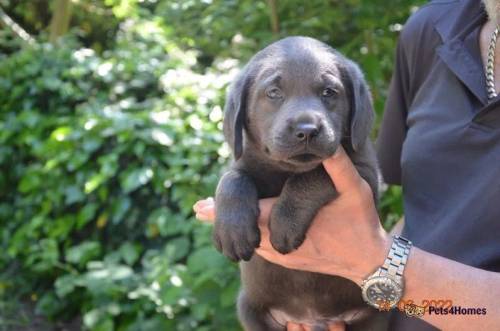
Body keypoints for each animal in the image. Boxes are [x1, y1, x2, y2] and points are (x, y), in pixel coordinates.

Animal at [213, 37, 384, 331]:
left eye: (329, 92)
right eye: (273, 92)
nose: (307, 130)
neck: (287, 168)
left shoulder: (367, 175)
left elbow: (311, 176)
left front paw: (285, 221)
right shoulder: (242, 160)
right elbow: (232, 179)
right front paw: (232, 230)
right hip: (250, 310)